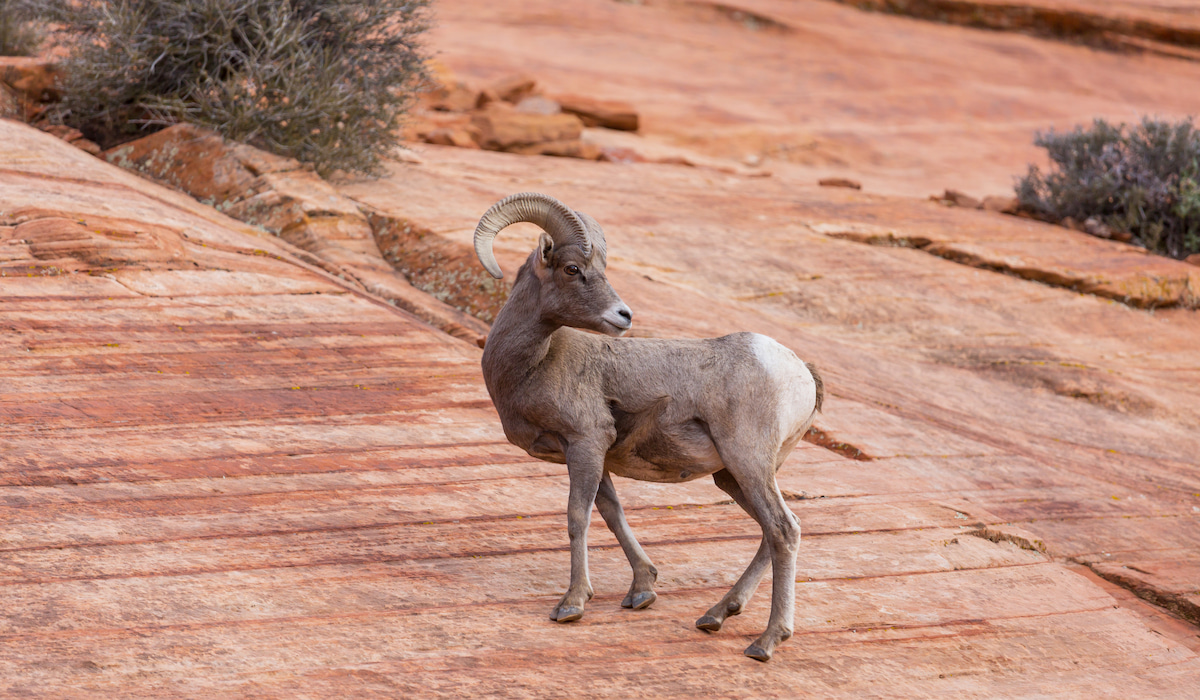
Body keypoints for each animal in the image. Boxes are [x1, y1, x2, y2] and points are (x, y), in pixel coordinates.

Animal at [473, 192, 824, 661]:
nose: (624, 316)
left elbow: (577, 517)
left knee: (784, 530)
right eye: (573, 269)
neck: (535, 365)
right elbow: (612, 513)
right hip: (733, 476)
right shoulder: (593, 456)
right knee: (773, 532)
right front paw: (642, 591)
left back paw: (766, 641)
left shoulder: (585, 444)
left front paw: (572, 605)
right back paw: (716, 615)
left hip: (748, 462)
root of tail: (799, 371)